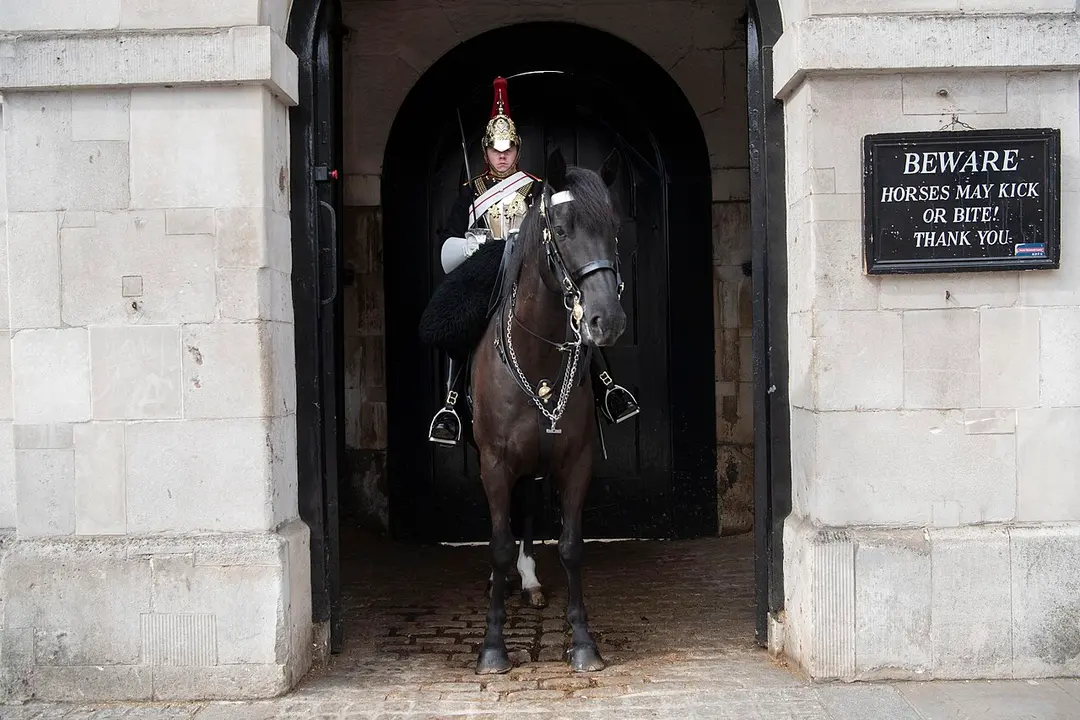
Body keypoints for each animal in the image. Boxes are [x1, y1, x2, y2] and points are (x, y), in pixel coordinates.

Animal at [469, 146, 626, 675]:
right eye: (560, 228)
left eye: (613, 226)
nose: (606, 320)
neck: (536, 356)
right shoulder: (494, 463)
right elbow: (496, 547)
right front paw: (492, 647)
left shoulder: (575, 461)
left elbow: (572, 547)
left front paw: (583, 642)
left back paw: (531, 581)